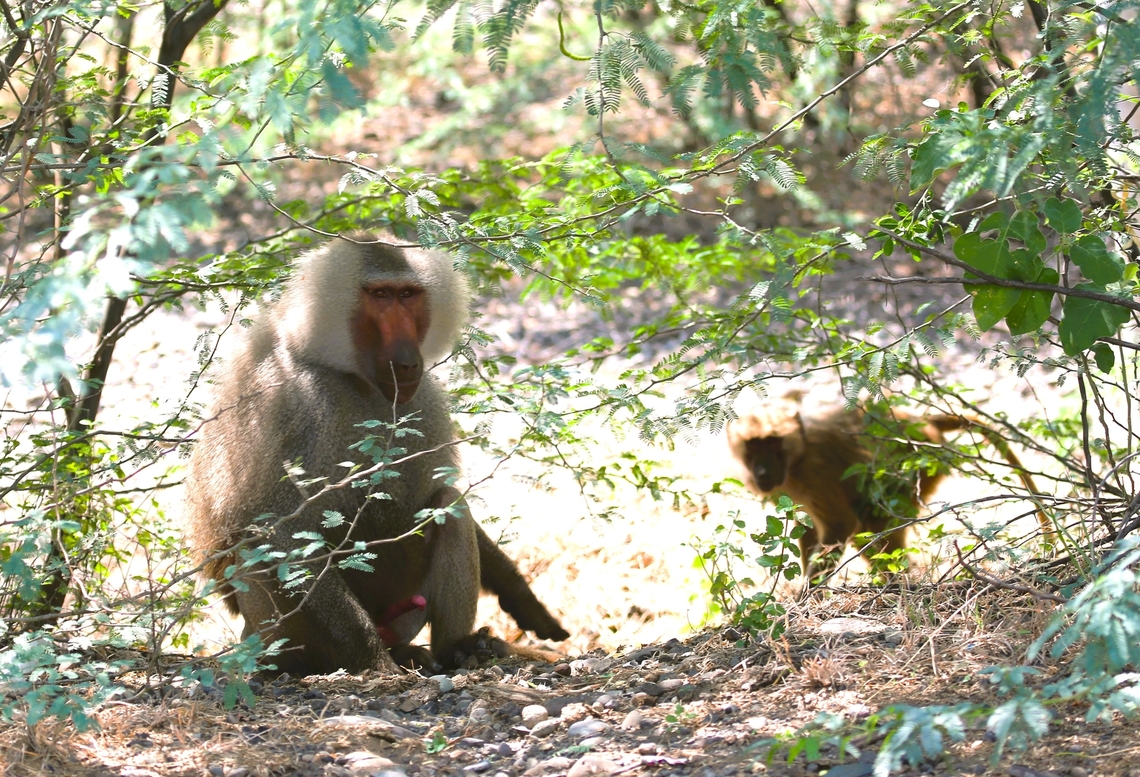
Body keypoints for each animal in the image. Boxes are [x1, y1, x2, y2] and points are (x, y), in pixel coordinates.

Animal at [184, 233, 569, 676]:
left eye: (408, 295)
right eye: (380, 295)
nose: (407, 361)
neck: (352, 375)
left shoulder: (423, 401)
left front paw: (524, 600)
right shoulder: (300, 403)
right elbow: (277, 527)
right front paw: (375, 664)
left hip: (403, 606)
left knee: (448, 503)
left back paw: (458, 649)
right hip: (278, 632)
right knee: (255, 547)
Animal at [727, 397, 1055, 579]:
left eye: (773, 443)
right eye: (754, 445)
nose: (763, 472)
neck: (798, 454)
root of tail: (921, 420)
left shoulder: (814, 471)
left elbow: (839, 524)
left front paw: (806, 599)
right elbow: (805, 530)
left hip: (921, 465)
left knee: (873, 522)